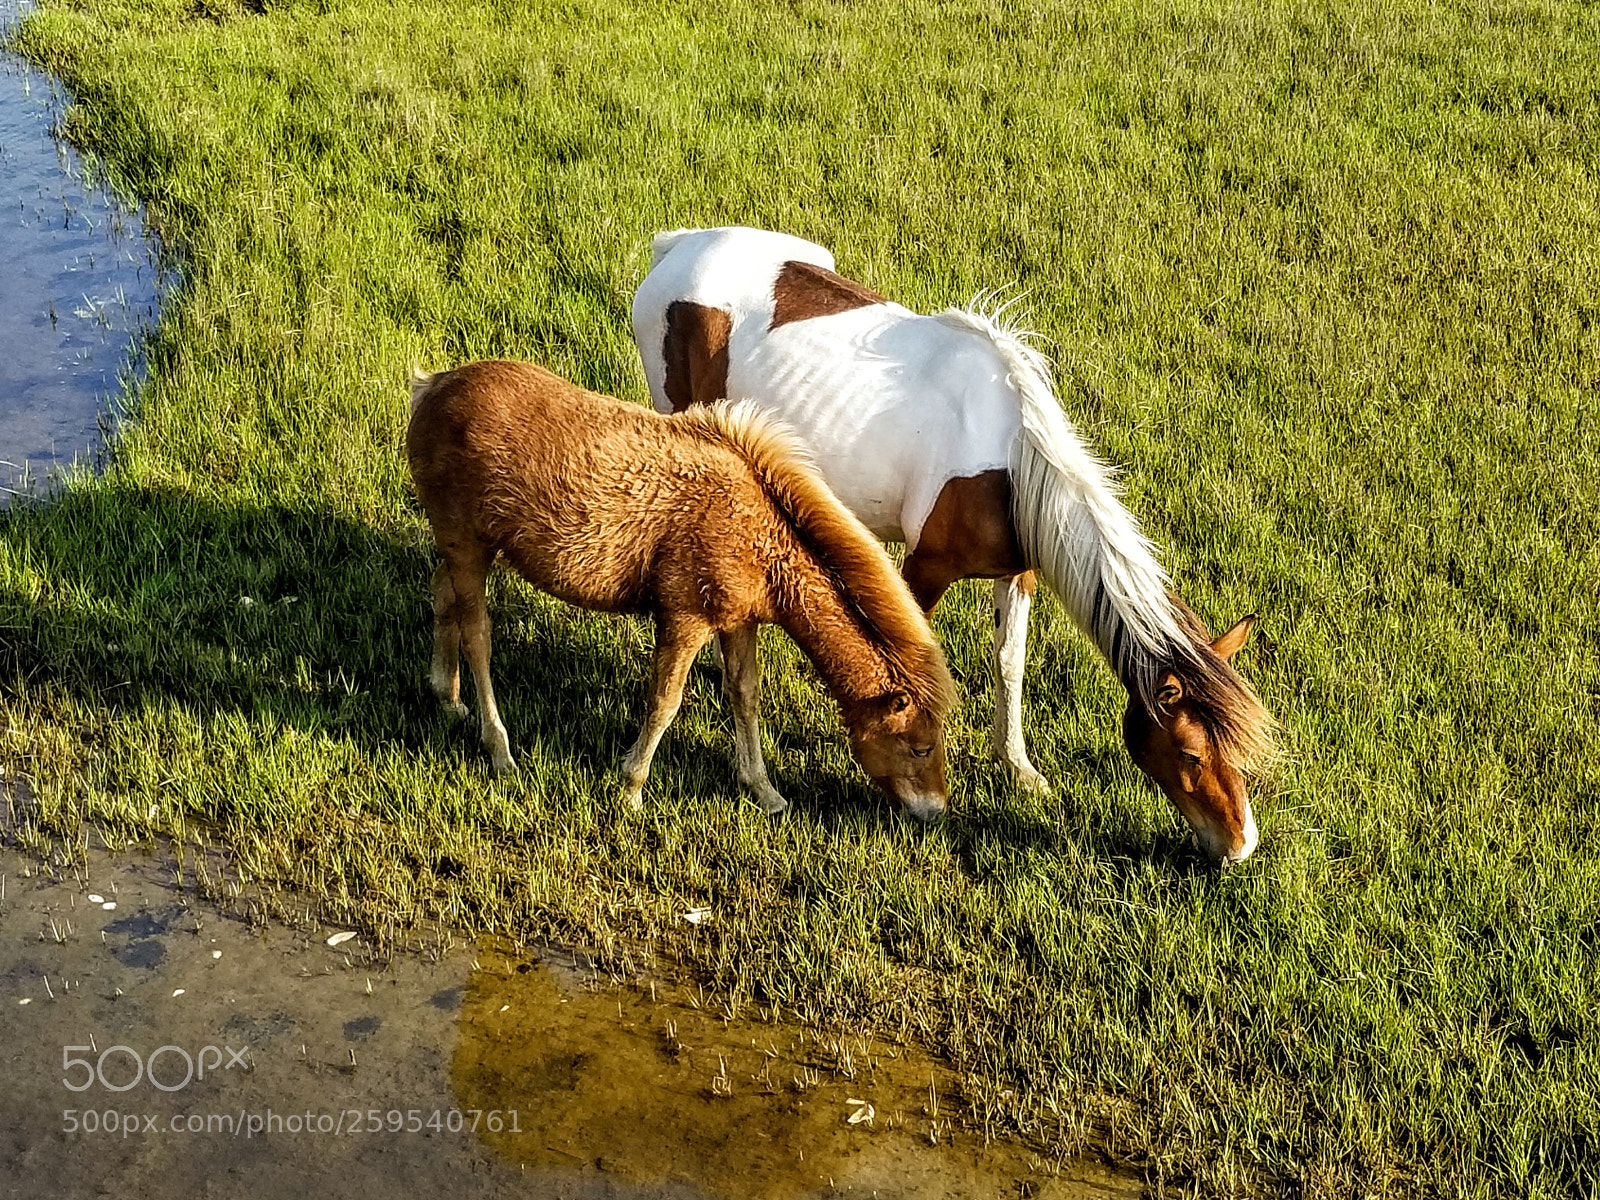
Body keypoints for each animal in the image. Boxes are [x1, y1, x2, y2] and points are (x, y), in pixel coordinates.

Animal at [406, 359, 956, 821]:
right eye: (921, 747)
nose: (935, 812)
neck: (756, 526)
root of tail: (433, 386)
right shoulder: (686, 620)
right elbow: (664, 702)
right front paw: (631, 788)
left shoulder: (738, 623)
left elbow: (744, 696)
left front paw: (763, 789)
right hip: (468, 545)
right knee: (477, 635)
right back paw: (498, 748)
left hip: (464, 548)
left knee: (443, 598)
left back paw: (446, 696)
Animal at [631, 227, 1274, 865]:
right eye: (1190, 753)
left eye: (1239, 751)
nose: (1240, 845)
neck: (1012, 460)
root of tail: (678, 245)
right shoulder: (924, 568)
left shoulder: (1017, 573)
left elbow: (1008, 663)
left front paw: (1018, 769)